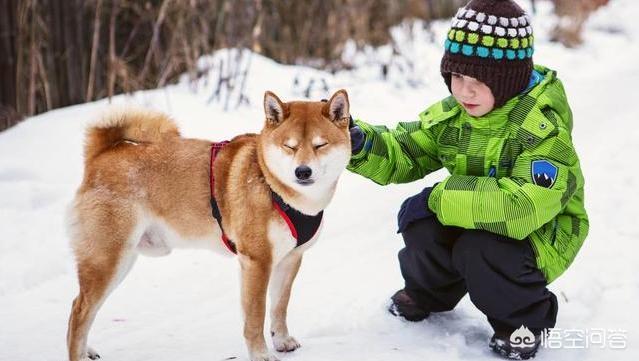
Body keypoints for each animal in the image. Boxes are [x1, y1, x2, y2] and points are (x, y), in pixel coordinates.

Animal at [66, 88, 350, 358]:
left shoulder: (290, 258)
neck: (273, 186)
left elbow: (279, 306)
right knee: (79, 311)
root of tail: (100, 155)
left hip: (119, 260)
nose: (302, 172)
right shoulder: (257, 261)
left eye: (320, 145)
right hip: (109, 259)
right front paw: (260, 354)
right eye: (289, 146)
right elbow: (255, 318)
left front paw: (281, 341)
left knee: (83, 310)